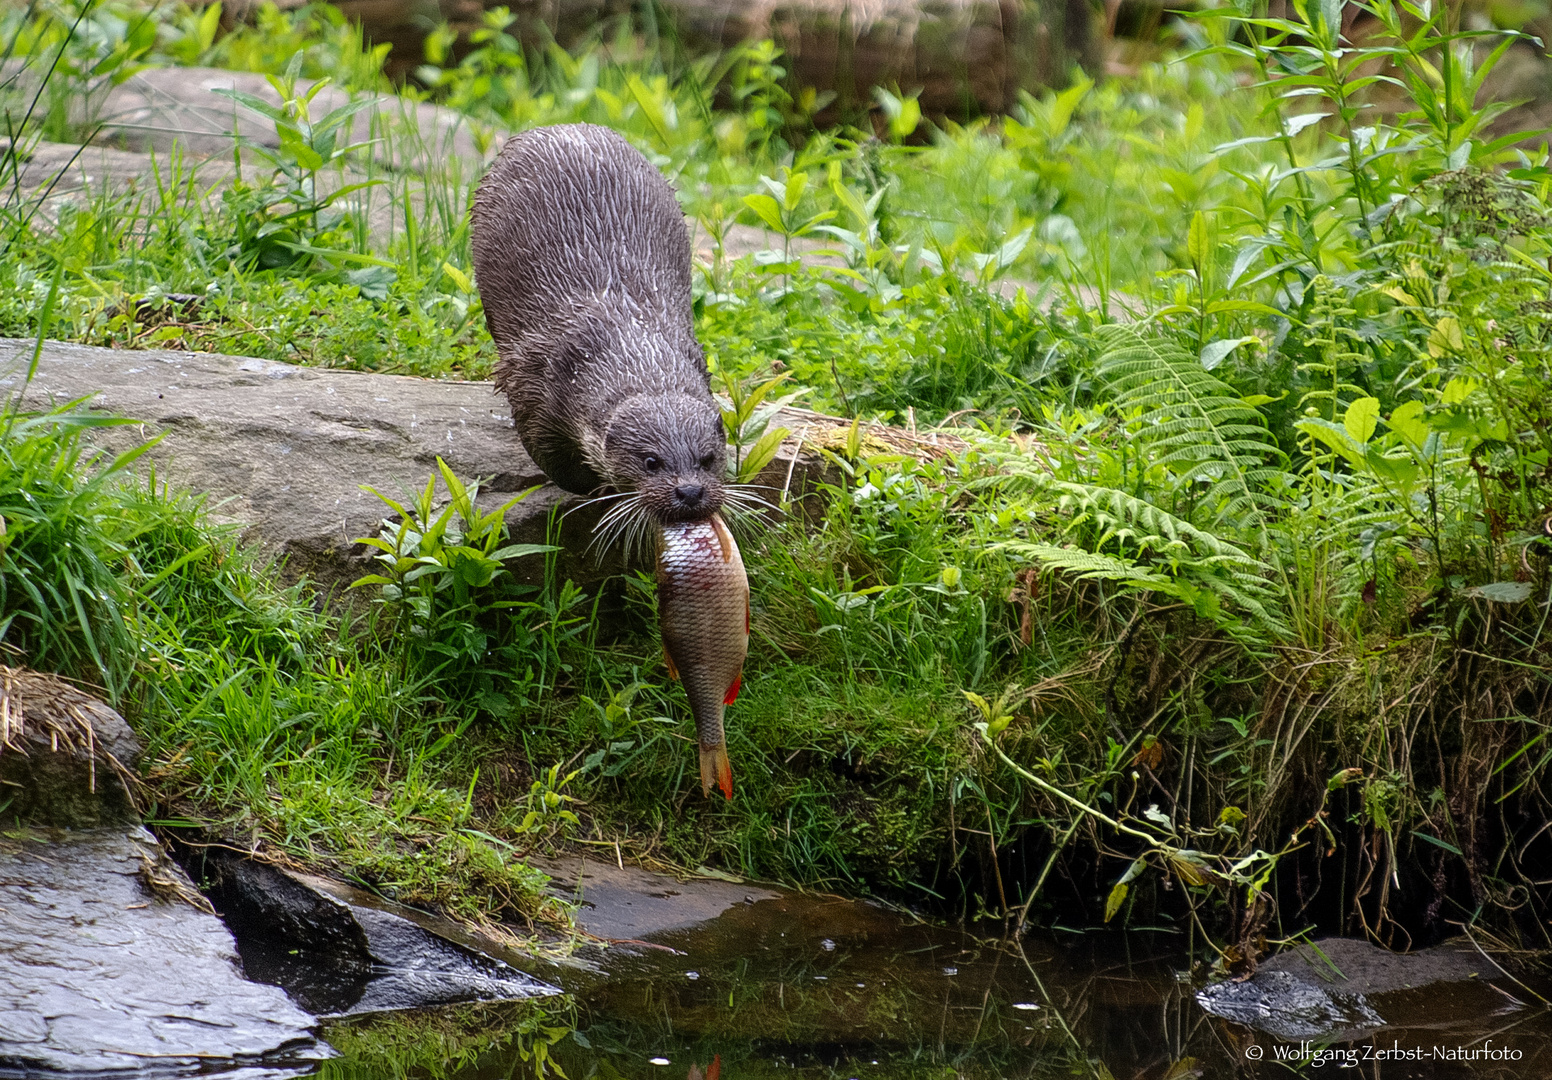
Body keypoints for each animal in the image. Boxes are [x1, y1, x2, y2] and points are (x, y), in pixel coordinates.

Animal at [468, 124, 729, 533]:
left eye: (708, 458)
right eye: (650, 461)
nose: (689, 491)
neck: (629, 337)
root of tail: (564, 127)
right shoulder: (534, 381)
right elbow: (551, 459)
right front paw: (599, 488)